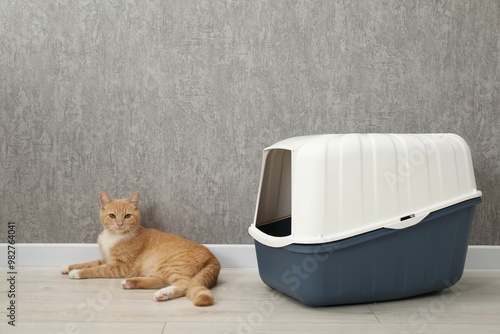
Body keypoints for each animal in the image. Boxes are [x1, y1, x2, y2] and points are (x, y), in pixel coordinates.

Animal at [61, 192, 221, 306]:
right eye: (112, 216)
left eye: (127, 216)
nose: (119, 224)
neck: (114, 236)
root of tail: (213, 258)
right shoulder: (106, 259)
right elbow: (89, 263)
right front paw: (68, 267)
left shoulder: (119, 266)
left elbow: (95, 270)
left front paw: (77, 272)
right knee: (162, 281)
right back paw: (131, 283)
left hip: (169, 264)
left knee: (184, 284)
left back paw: (163, 293)